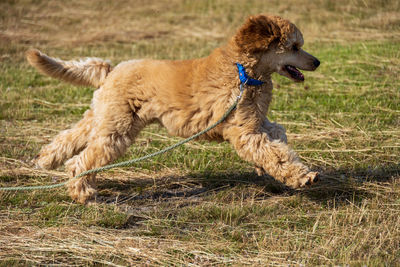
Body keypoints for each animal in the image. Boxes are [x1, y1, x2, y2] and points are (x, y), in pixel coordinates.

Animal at [27, 14, 322, 204]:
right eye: (294, 46)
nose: (317, 62)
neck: (243, 72)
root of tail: (112, 70)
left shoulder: (256, 122)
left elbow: (278, 135)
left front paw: (262, 168)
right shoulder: (244, 132)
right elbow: (275, 154)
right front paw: (303, 177)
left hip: (103, 117)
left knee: (70, 138)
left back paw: (46, 159)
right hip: (116, 129)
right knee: (80, 161)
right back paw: (83, 193)